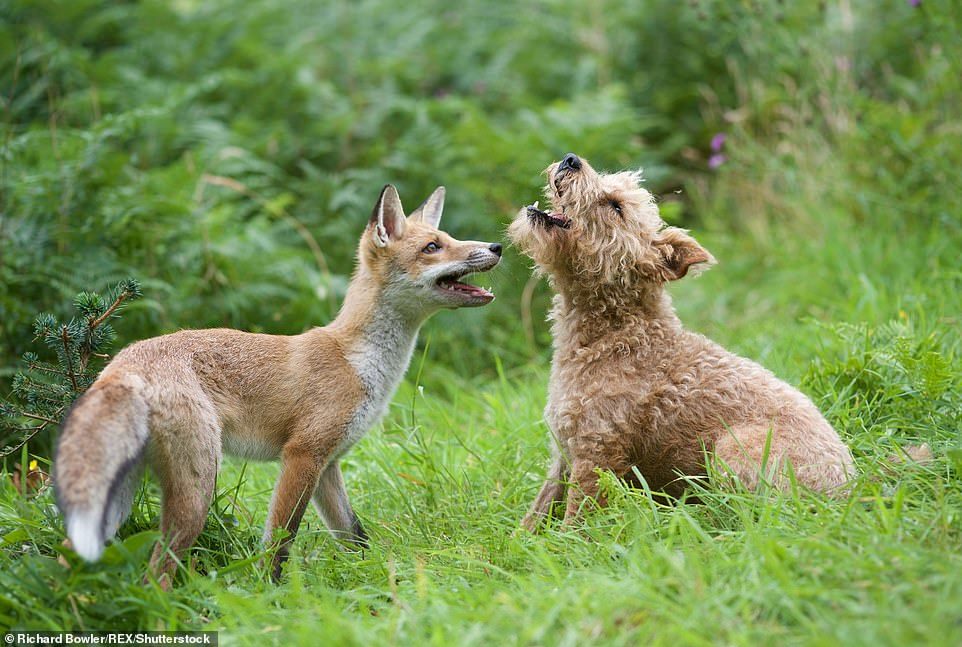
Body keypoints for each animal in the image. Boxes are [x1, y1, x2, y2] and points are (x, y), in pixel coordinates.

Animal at [506, 154, 852, 528]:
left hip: (731, 449)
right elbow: (534, 516)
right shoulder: (563, 452)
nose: (571, 160)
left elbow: (576, 522)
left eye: (615, 206)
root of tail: (847, 492)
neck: (616, 332)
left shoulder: (596, 452)